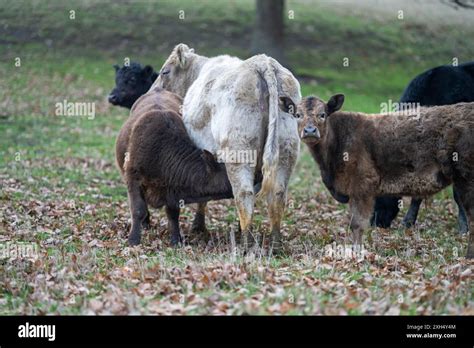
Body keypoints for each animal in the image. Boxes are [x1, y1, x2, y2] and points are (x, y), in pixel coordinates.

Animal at [116, 87, 235, 245]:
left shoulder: (172, 189)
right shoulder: (132, 176)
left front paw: (176, 240)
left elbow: (173, 213)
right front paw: (133, 239)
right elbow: (138, 209)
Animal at [152, 43, 300, 251]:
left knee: (244, 193)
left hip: (239, 152)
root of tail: (263, 63)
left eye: (165, 71)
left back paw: (245, 244)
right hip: (286, 150)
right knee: (277, 194)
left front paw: (198, 226)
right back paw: (275, 245)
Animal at [286, 95, 474, 258]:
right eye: (297, 115)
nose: (310, 130)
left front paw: (357, 254)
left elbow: (357, 224)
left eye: (323, 114)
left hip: (465, 178)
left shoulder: (363, 185)